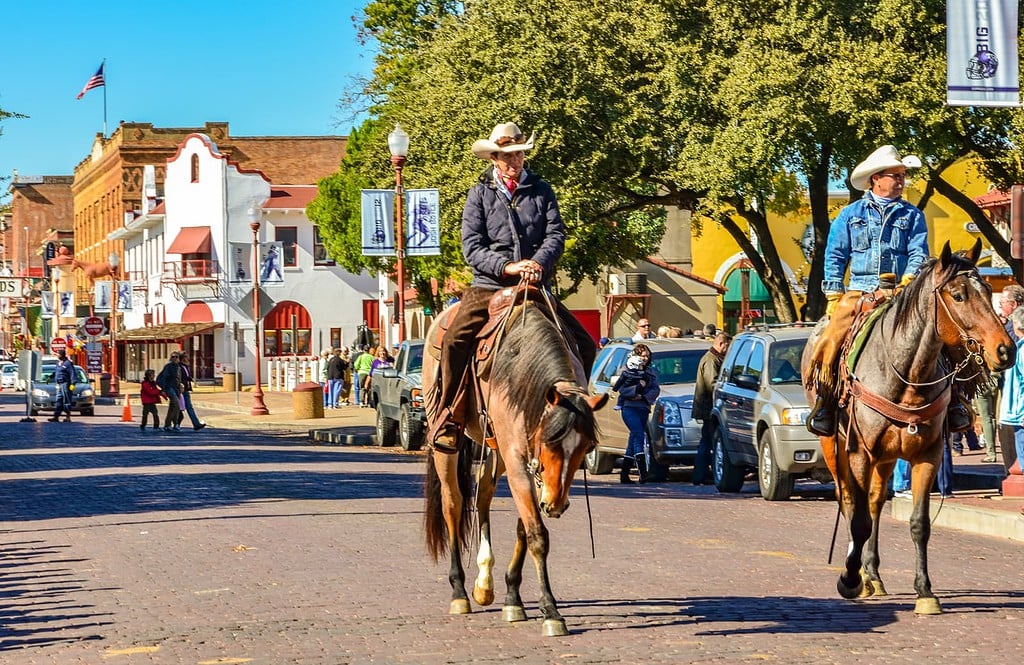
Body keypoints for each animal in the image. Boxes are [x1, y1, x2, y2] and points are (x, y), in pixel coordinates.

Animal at [419, 288, 602, 631]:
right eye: (550, 442)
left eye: (585, 449)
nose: (556, 504)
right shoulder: (519, 460)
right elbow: (537, 533)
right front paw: (551, 611)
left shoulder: (532, 468)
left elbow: (524, 527)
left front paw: (513, 597)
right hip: (447, 446)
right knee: (454, 503)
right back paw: (460, 592)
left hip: (496, 447)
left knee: (482, 493)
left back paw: (484, 583)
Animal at [798, 240, 1015, 614]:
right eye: (958, 295)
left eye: (988, 291)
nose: (1006, 349)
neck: (905, 372)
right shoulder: (860, 452)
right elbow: (857, 520)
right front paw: (849, 580)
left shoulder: (928, 454)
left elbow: (919, 523)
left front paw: (925, 591)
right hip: (835, 447)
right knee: (850, 502)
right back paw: (858, 574)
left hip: (886, 458)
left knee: (873, 502)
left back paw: (873, 575)